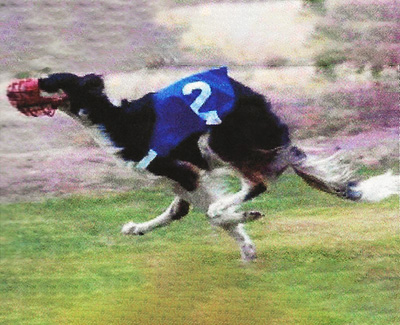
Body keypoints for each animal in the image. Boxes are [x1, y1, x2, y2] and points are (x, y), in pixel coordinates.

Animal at [36, 68, 396, 260]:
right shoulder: (180, 178)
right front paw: (137, 228)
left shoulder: (182, 172)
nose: (32, 82)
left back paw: (238, 206)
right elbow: (180, 212)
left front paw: (242, 222)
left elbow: (211, 214)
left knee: (256, 183)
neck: (114, 120)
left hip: (216, 139)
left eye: (53, 80)